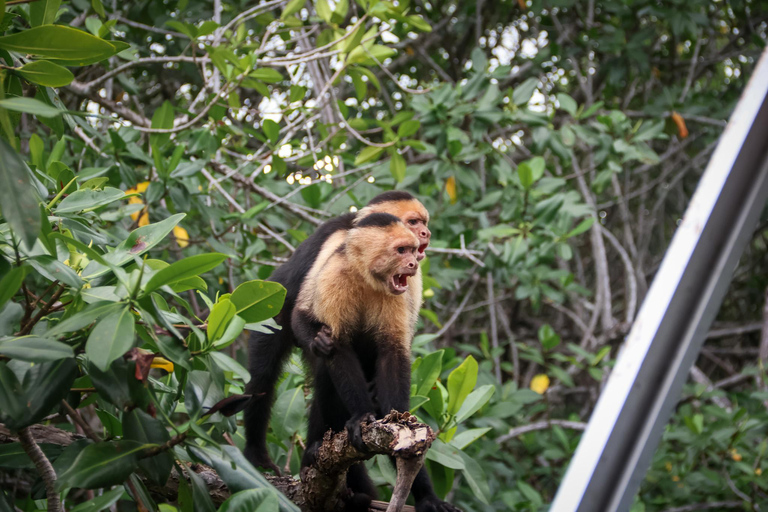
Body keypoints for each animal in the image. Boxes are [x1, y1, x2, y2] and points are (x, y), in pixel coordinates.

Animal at [243, 193, 428, 476]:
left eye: (423, 222)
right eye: (413, 222)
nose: (425, 234)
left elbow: (395, 344)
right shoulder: (338, 244)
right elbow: (308, 309)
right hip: (268, 319)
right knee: (265, 376)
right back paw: (263, 452)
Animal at [292, 212, 460, 512]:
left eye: (411, 250)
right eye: (401, 250)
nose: (413, 263)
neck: (366, 278)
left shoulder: (396, 294)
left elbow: (392, 352)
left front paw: (399, 421)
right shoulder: (334, 276)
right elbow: (335, 346)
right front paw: (361, 417)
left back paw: (425, 496)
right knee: (325, 374)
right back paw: (316, 447)